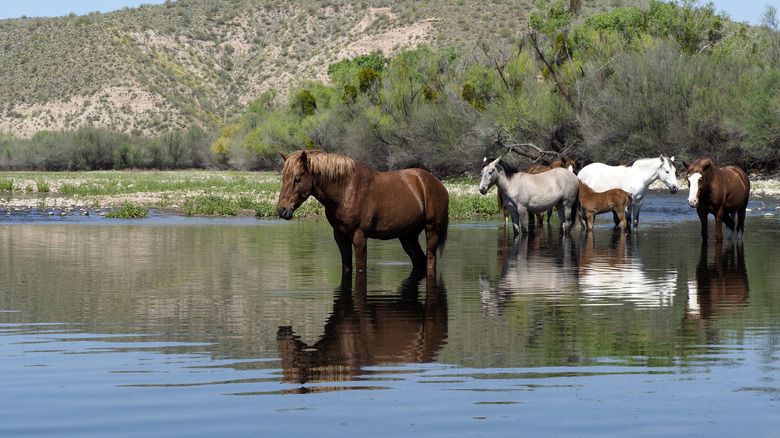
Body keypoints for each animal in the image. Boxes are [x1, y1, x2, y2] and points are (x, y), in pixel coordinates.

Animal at [278, 151, 450, 274]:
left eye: (298, 179)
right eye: (283, 178)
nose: (282, 209)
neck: (345, 190)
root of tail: (438, 184)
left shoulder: (359, 236)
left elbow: (361, 268)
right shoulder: (340, 236)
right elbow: (347, 267)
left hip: (432, 230)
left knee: (430, 260)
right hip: (408, 236)